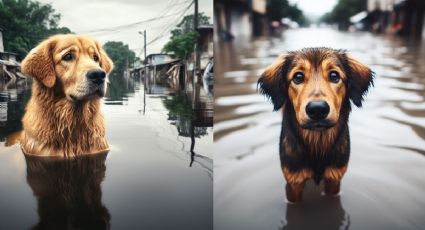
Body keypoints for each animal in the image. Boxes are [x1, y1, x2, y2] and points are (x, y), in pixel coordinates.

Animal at [256, 47, 372, 202]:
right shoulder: (294, 182)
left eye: (334, 75)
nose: (317, 109)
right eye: (298, 77)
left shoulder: (334, 179)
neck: (317, 142)